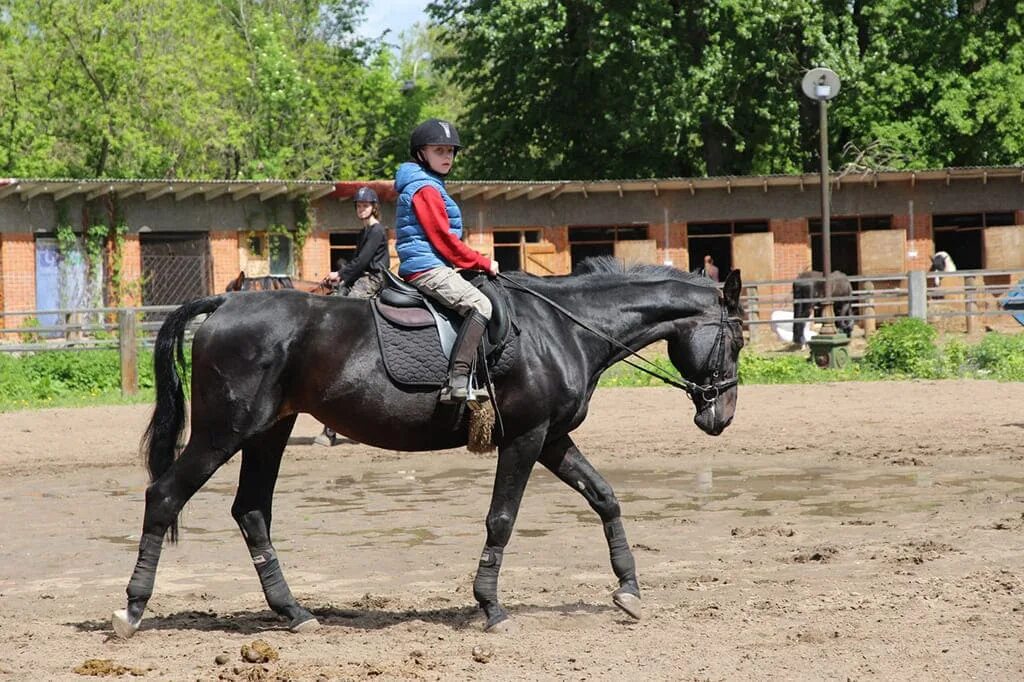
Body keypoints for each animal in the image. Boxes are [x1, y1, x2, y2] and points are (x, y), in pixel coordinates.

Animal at [112, 259, 745, 638]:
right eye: (736, 338)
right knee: (164, 495)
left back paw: (293, 612)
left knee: (251, 511)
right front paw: (490, 606)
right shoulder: (526, 437)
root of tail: (225, 304)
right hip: (225, 431)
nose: (722, 417)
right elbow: (502, 519)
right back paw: (132, 608)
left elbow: (605, 497)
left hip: (270, 431)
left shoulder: (551, 438)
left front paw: (629, 590)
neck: (562, 328)